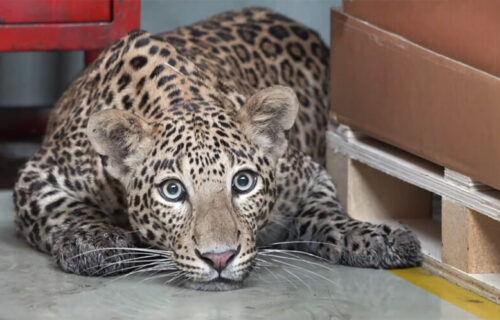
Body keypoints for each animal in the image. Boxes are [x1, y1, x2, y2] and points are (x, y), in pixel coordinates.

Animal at [12, 8, 422, 292]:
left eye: (243, 183)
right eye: (172, 190)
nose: (220, 258)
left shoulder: (308, 175)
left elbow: (326, 213)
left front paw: (376, 238)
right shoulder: (38, 176)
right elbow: (65, 209)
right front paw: (96, 241)